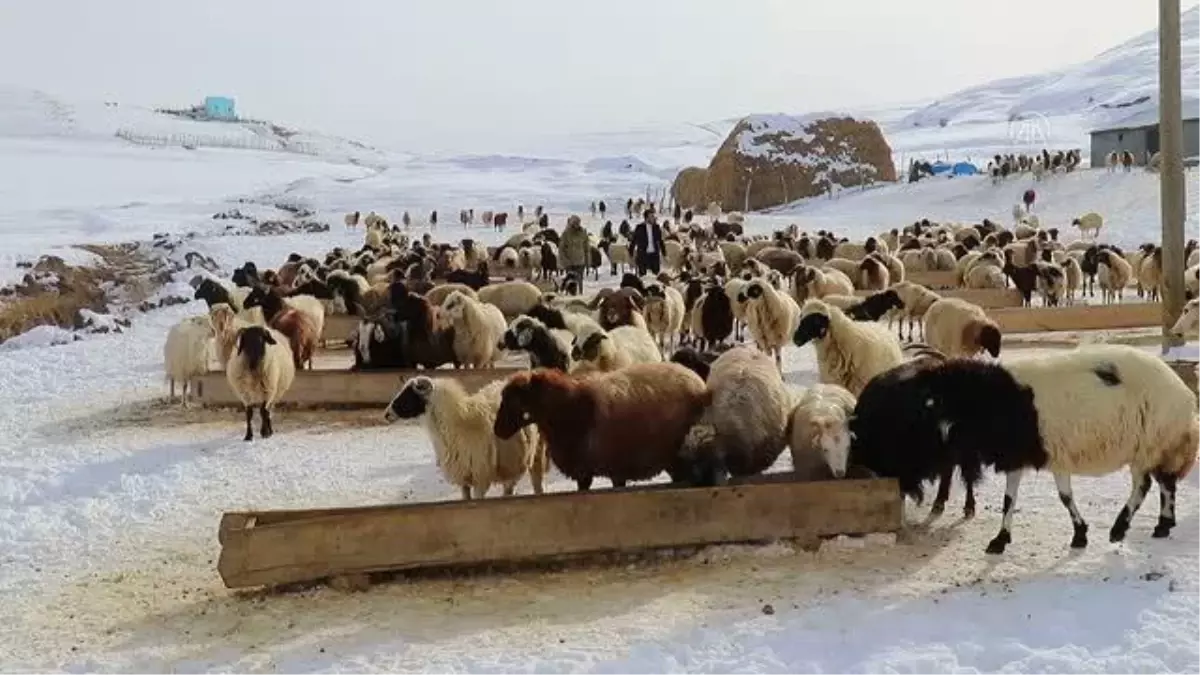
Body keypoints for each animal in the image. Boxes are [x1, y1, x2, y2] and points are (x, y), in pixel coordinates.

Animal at [381, 374, 547, 497]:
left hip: (537, 451)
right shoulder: (463, 478)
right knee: (509, 489)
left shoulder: (481, 478)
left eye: (409, 395)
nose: (387, 414)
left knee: (537, 481)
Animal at [849, 345, 1195, 552]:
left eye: (908, 424)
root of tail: (1184, 393)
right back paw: (1163, 525)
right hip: (1160, 445)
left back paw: (1122, 528)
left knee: (1146, 484)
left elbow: (1056, 497)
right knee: (1165, 483)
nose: (874, 470)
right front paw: (1003, 540)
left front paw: (1079, 535)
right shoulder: (1025, 456)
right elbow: (1016, 499)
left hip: (1152, 442)